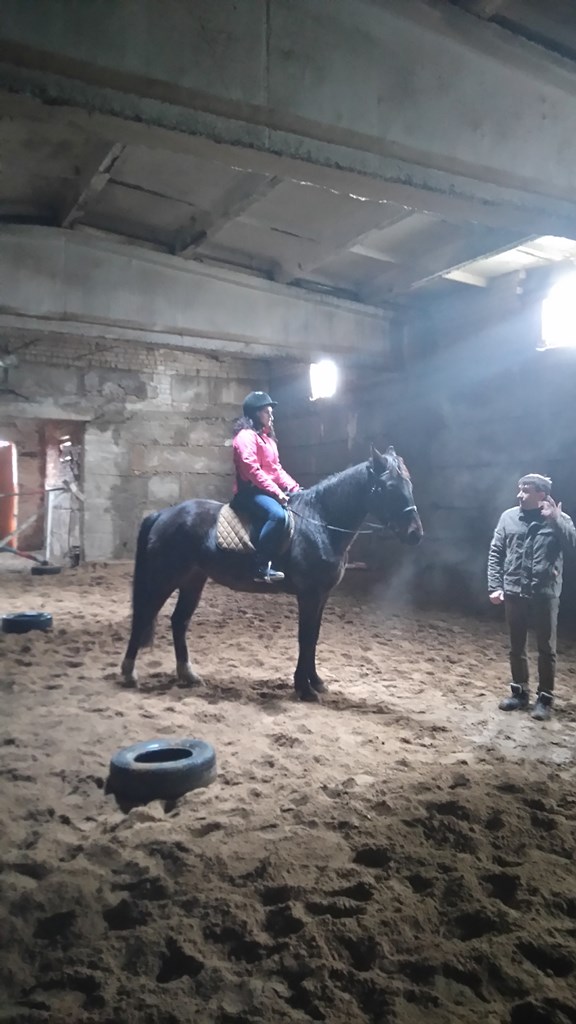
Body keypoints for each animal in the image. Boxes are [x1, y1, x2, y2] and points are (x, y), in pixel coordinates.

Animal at [121, 445, 423, 702]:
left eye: (409, 484)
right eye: (389, 487)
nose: (415, 534)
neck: (320, 522)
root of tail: (163, 514)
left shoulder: (321, 596)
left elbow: (314, 637)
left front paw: (316, 682)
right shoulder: (309, 595)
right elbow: (305, 637)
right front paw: (304, 689)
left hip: (193, 580)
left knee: (179, 621)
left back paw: (188, 675)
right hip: (165, 577)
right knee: (144, 616)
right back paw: (128, 674)